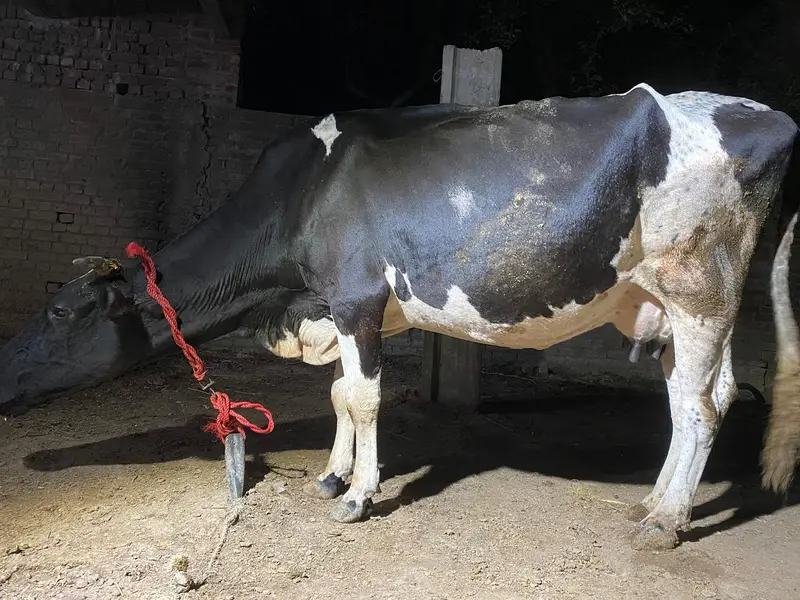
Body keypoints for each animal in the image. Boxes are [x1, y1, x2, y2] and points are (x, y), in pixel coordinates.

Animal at [1, 82, 798, 551]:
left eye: (61, 309)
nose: (2, 380)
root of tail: (761, 111)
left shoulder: (355, 296)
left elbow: (363, 396)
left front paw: (358, 496)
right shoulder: (348, 310)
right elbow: (339, 395)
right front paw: (332, 475)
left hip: (698, 289)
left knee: (697, 406)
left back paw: (664, 522)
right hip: (668, 305)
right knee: (708, 393)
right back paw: (656, 502)